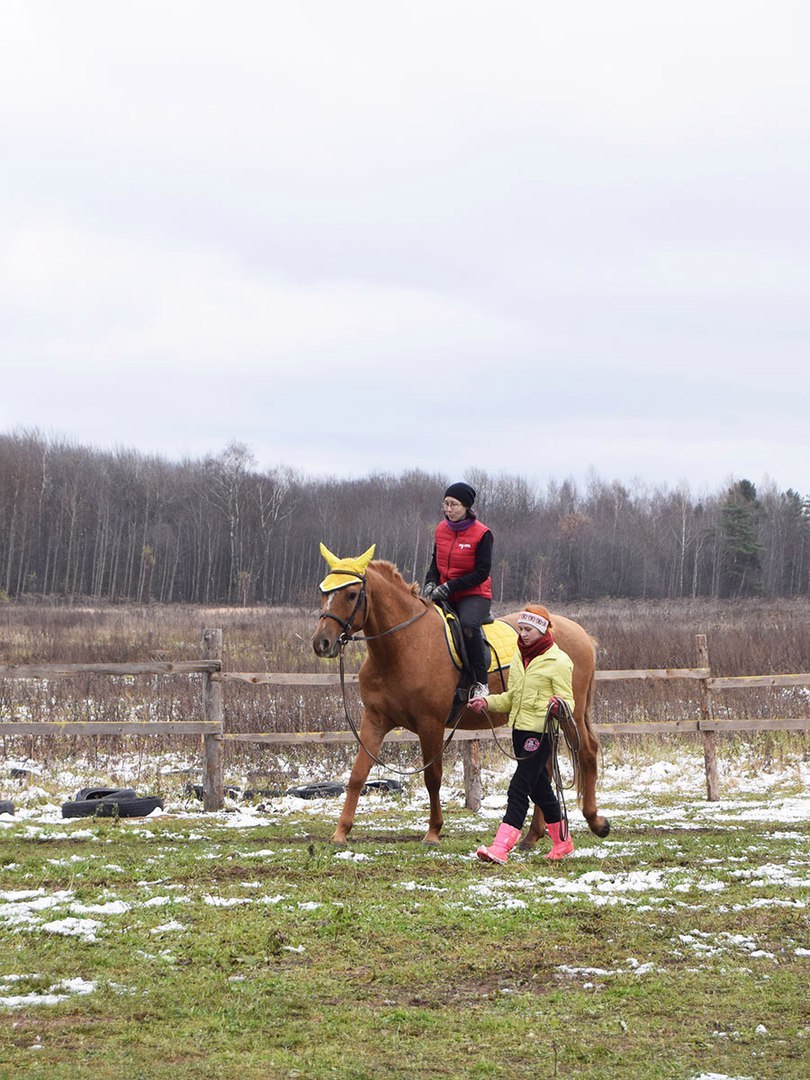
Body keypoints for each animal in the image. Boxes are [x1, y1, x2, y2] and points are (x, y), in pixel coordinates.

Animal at [311, 544, 609, 846]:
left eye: (351, 594)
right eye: (324, 591)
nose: (322, 643)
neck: (402, 647)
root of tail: (580, 633)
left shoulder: (430, 725)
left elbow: (433, 778)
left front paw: (433, 831)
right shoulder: (375, 720)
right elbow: (358, 775)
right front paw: (341, 832)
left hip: (568, 712)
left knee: (587, 753)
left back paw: (595, 821)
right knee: (544, 767)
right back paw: (532, 835)